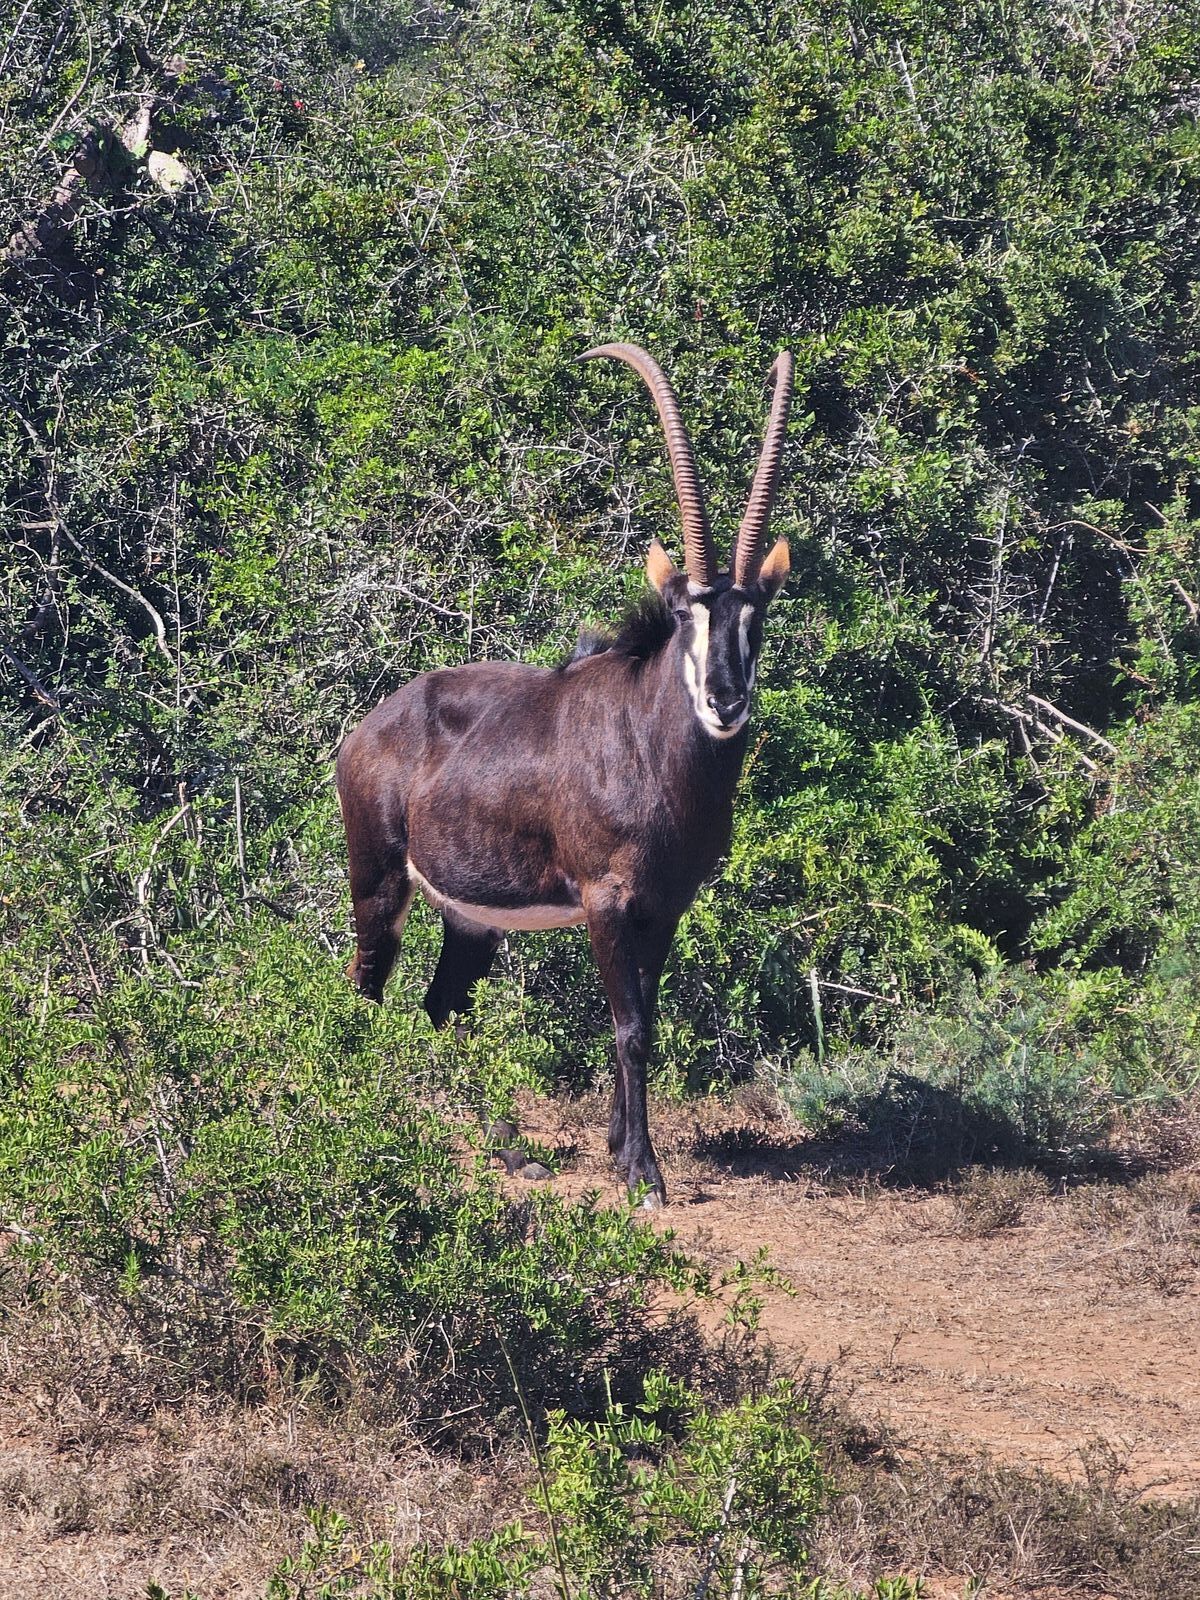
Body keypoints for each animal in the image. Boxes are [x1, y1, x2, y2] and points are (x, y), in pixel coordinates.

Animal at [336, 344, 793, 1206]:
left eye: (756, 615)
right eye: (683, 613)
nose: (725, 700)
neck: (650, 749)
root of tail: (368, 730)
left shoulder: (663, 907)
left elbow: (644, 1017)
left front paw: (619, 1147)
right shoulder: (607, 902)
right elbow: (631, 1027)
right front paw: (642, 1173)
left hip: (471, 917)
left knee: (444, 1005)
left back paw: (510, 1151)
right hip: (379, 883)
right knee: (365, 986)